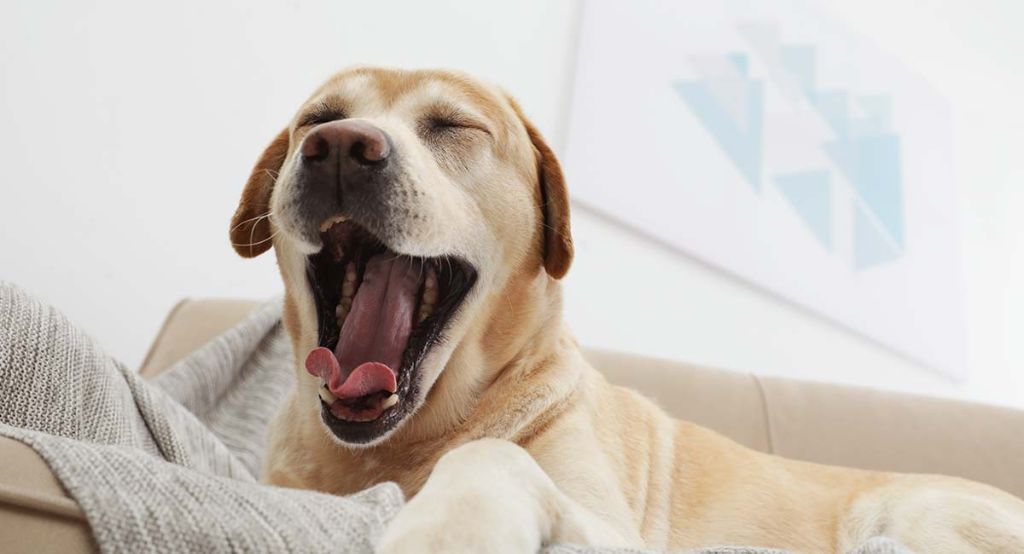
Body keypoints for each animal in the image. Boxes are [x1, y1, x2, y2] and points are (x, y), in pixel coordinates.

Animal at [230, 67, 1024, 548]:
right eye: (318, 118)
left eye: (454, 126)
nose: (338, 146)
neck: (392, 450)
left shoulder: (614, 531)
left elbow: (491, 456)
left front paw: (447, 529)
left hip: (920, 514)